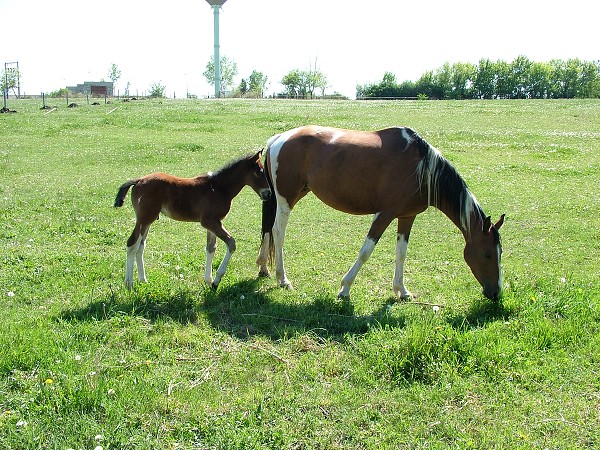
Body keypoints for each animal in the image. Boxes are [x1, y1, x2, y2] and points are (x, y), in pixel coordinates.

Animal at [113, 151, 272, 290]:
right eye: (259, 172)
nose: (268, 194)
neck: (218, 188)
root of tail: (138, 180)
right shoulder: (209, 222)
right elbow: (231, 243)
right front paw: (216, 281)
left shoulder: (213, 223)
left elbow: (211, 248)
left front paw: (208, 281)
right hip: (144, 219)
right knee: (132, 244)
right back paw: (129, 284)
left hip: (147, 220)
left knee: (141, 246)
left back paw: (143, 279)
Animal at [255, 126, 504, 300]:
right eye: (488, 254)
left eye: (500, 253)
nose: (496, 293)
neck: (421, 167)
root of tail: (279, 138)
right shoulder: (384, 214)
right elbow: (366, 251)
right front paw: (345, 288)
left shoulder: (406, 217)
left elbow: (401, 253)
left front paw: (402, 290)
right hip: (286, 199)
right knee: (278, 232)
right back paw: (282, 279)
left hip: (291, 195)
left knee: (267, 228)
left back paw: (263, 267)